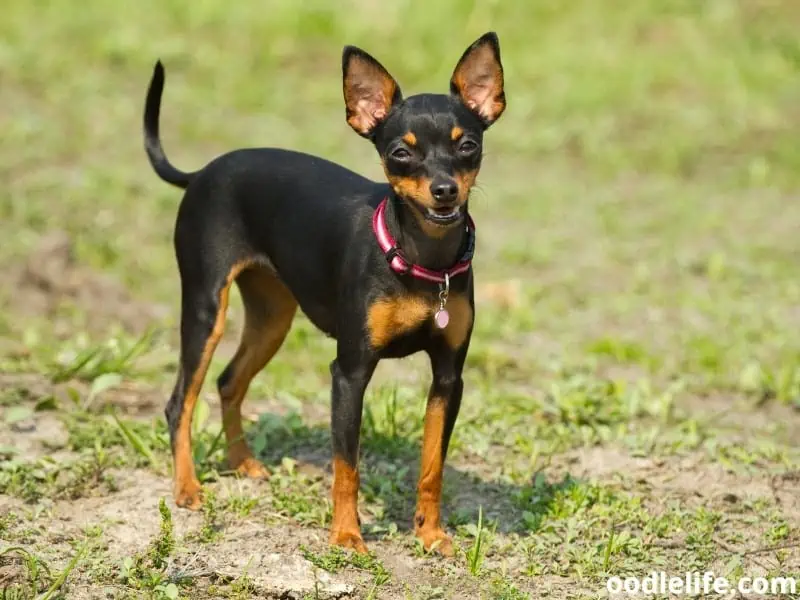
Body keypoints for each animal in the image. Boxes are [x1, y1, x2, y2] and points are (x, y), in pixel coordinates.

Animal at [142, 32, 506, 556]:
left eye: (468, 146)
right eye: (400, 153)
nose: (444, 191)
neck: (421, 258)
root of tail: (204, 172)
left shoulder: (447, 378)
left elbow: (432, 466)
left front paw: (430, 533)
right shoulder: (350, 373)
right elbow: (346, 466)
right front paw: (347, 536)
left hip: (272, 317)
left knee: (229, 380)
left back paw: (242, 463)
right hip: (206, 308)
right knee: (180, 403)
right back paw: (188, 488)